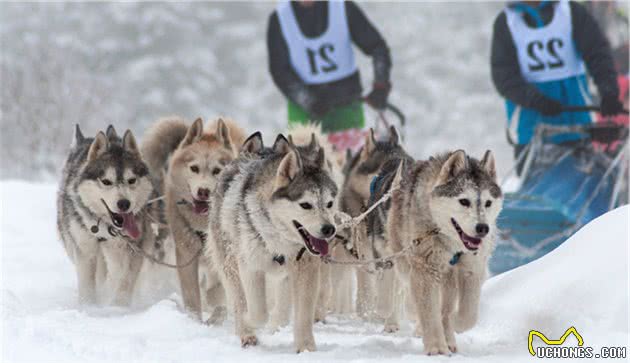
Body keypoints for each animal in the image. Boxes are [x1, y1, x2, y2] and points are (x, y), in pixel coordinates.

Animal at [58, 125, 159, 308]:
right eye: (106, 181)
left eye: (131, 180)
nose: (124, 203)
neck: (106, 228)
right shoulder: (85, 251)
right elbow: (88, 285)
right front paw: (88, 307)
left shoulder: (134, 249)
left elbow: (125, 280)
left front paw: (119, 308)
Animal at [141, 117, 247, 322]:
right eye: (194, 168)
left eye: (217, 170)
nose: (203, 191)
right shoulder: (186, 255)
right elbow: (192, 295)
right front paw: (194, 319)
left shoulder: (222, 255)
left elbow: (218, 290)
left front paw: (215, 305)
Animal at [206, 134, 340, 352]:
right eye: (305, 205)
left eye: (329, 203)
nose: (329, 229)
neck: (278, 240)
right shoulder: (251, 268)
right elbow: (258, 312)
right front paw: (248, 322)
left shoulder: (306, 271)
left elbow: (303, 316)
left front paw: (305, 349)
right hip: (230, 264)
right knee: (238, 298)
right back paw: (246, 333)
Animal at [376, 150, 504, 356]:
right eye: (464, 201)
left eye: (488, 203)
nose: (483, 228)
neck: (453, 245)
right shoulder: (425, 269)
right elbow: (430, 312)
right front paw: (436, 348)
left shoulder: (472, 269)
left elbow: (468, 315)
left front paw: (455, 324)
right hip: (405, 262)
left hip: (448, 279)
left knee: (445, 309)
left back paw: (449, 338)